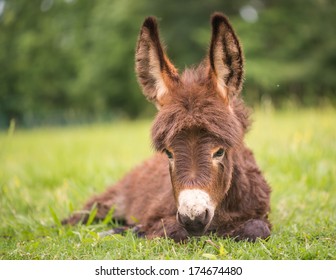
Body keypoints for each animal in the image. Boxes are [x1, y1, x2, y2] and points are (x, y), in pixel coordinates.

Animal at [63, 12, 272, 242]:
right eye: (168, 153)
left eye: (219, 151)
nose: (194, 219)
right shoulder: (160, 216)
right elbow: (172, 230)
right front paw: (139, 230)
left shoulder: (260, 213)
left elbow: (257, 229)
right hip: (106, 203)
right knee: (74, 219)